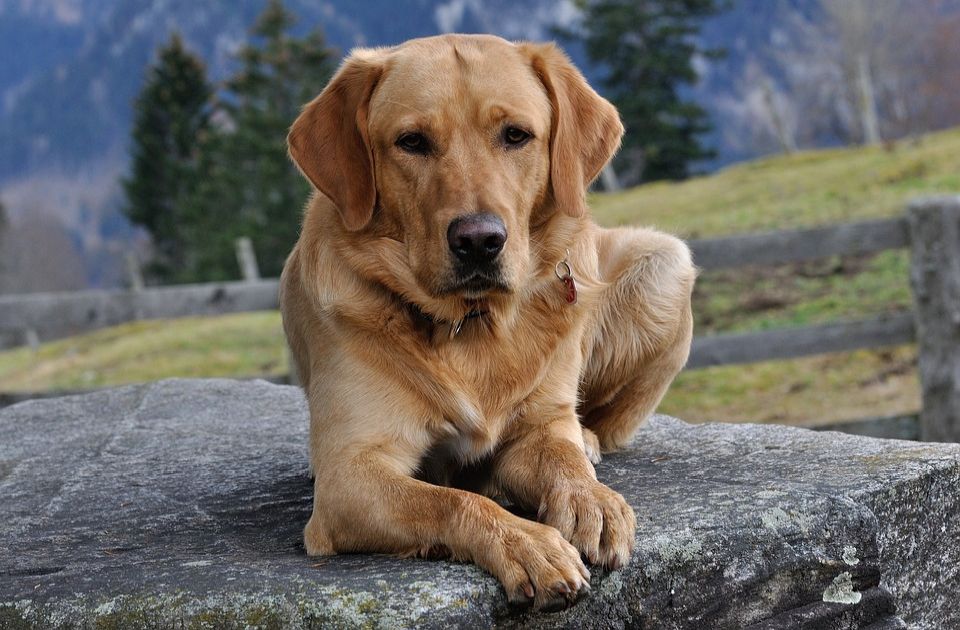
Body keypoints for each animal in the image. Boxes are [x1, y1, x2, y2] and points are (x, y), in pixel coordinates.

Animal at [282, 33, 692, 612]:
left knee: (600, 425)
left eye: (515, 135)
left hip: (666, 263)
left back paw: (588, 442)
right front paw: (525, 542)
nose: (479, 240)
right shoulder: (348, 476)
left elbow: (560, 459)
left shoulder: (538, 426)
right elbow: (452, 502)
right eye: (412, 142)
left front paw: (591, 498)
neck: (470, 325)